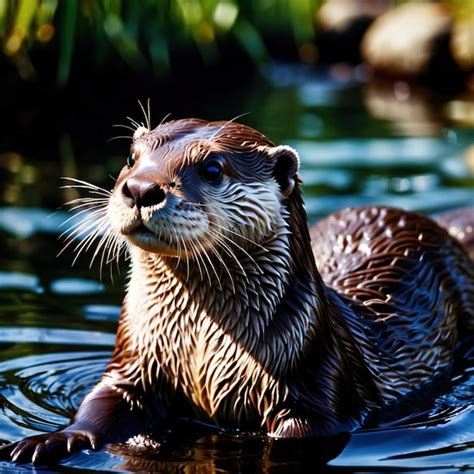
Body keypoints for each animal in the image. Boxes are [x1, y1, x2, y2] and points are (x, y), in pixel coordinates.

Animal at [0, 118, 474, 462]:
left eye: (212, 168)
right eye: (132, 157)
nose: (140, 188)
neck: (199, 355)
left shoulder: (316, 388)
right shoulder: (136, 358)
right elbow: (99, 404)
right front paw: (51, 440)